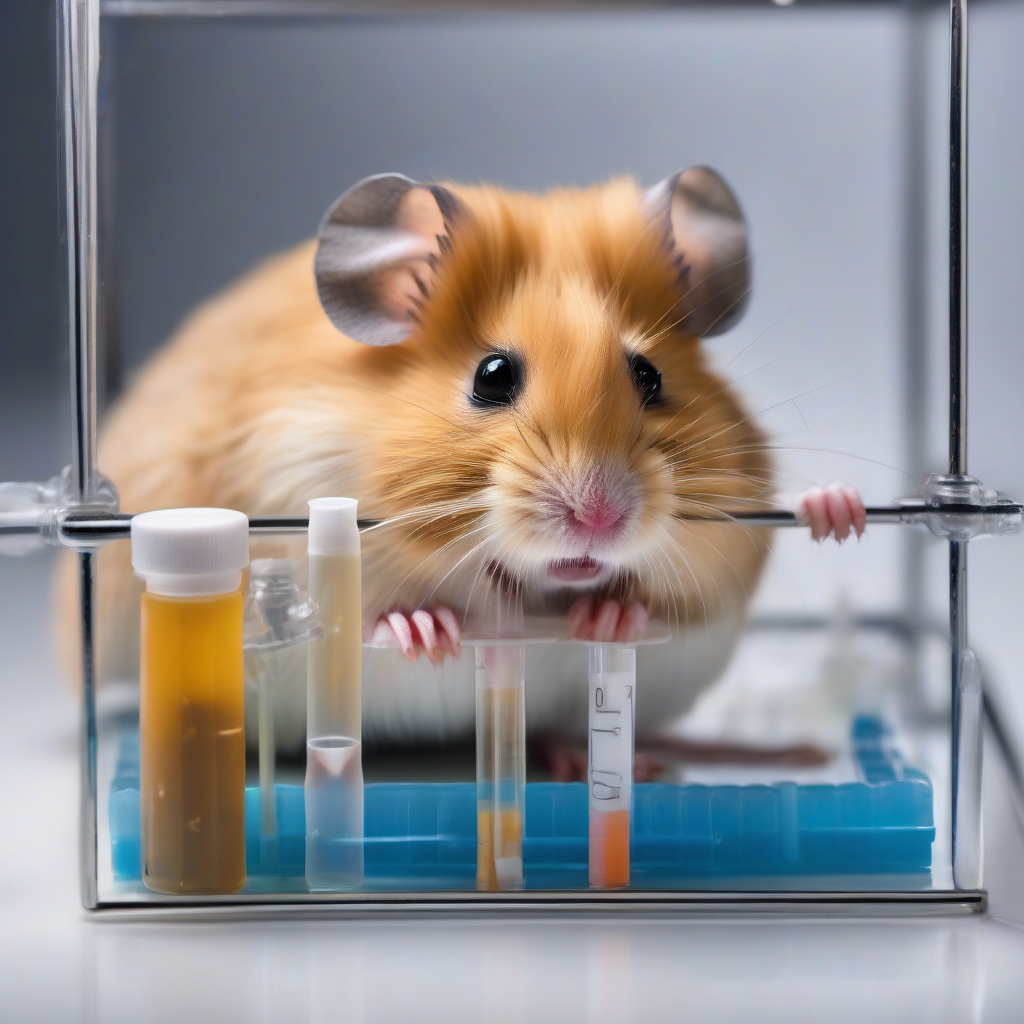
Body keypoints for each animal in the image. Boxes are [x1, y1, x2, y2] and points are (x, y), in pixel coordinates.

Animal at [54, 167, 863, 753]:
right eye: (492, 376)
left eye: (650, 376)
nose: (599, 519)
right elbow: (370, 611)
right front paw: (427, 631)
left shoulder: (724, 563)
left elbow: (668, 598)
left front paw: (609, 614)